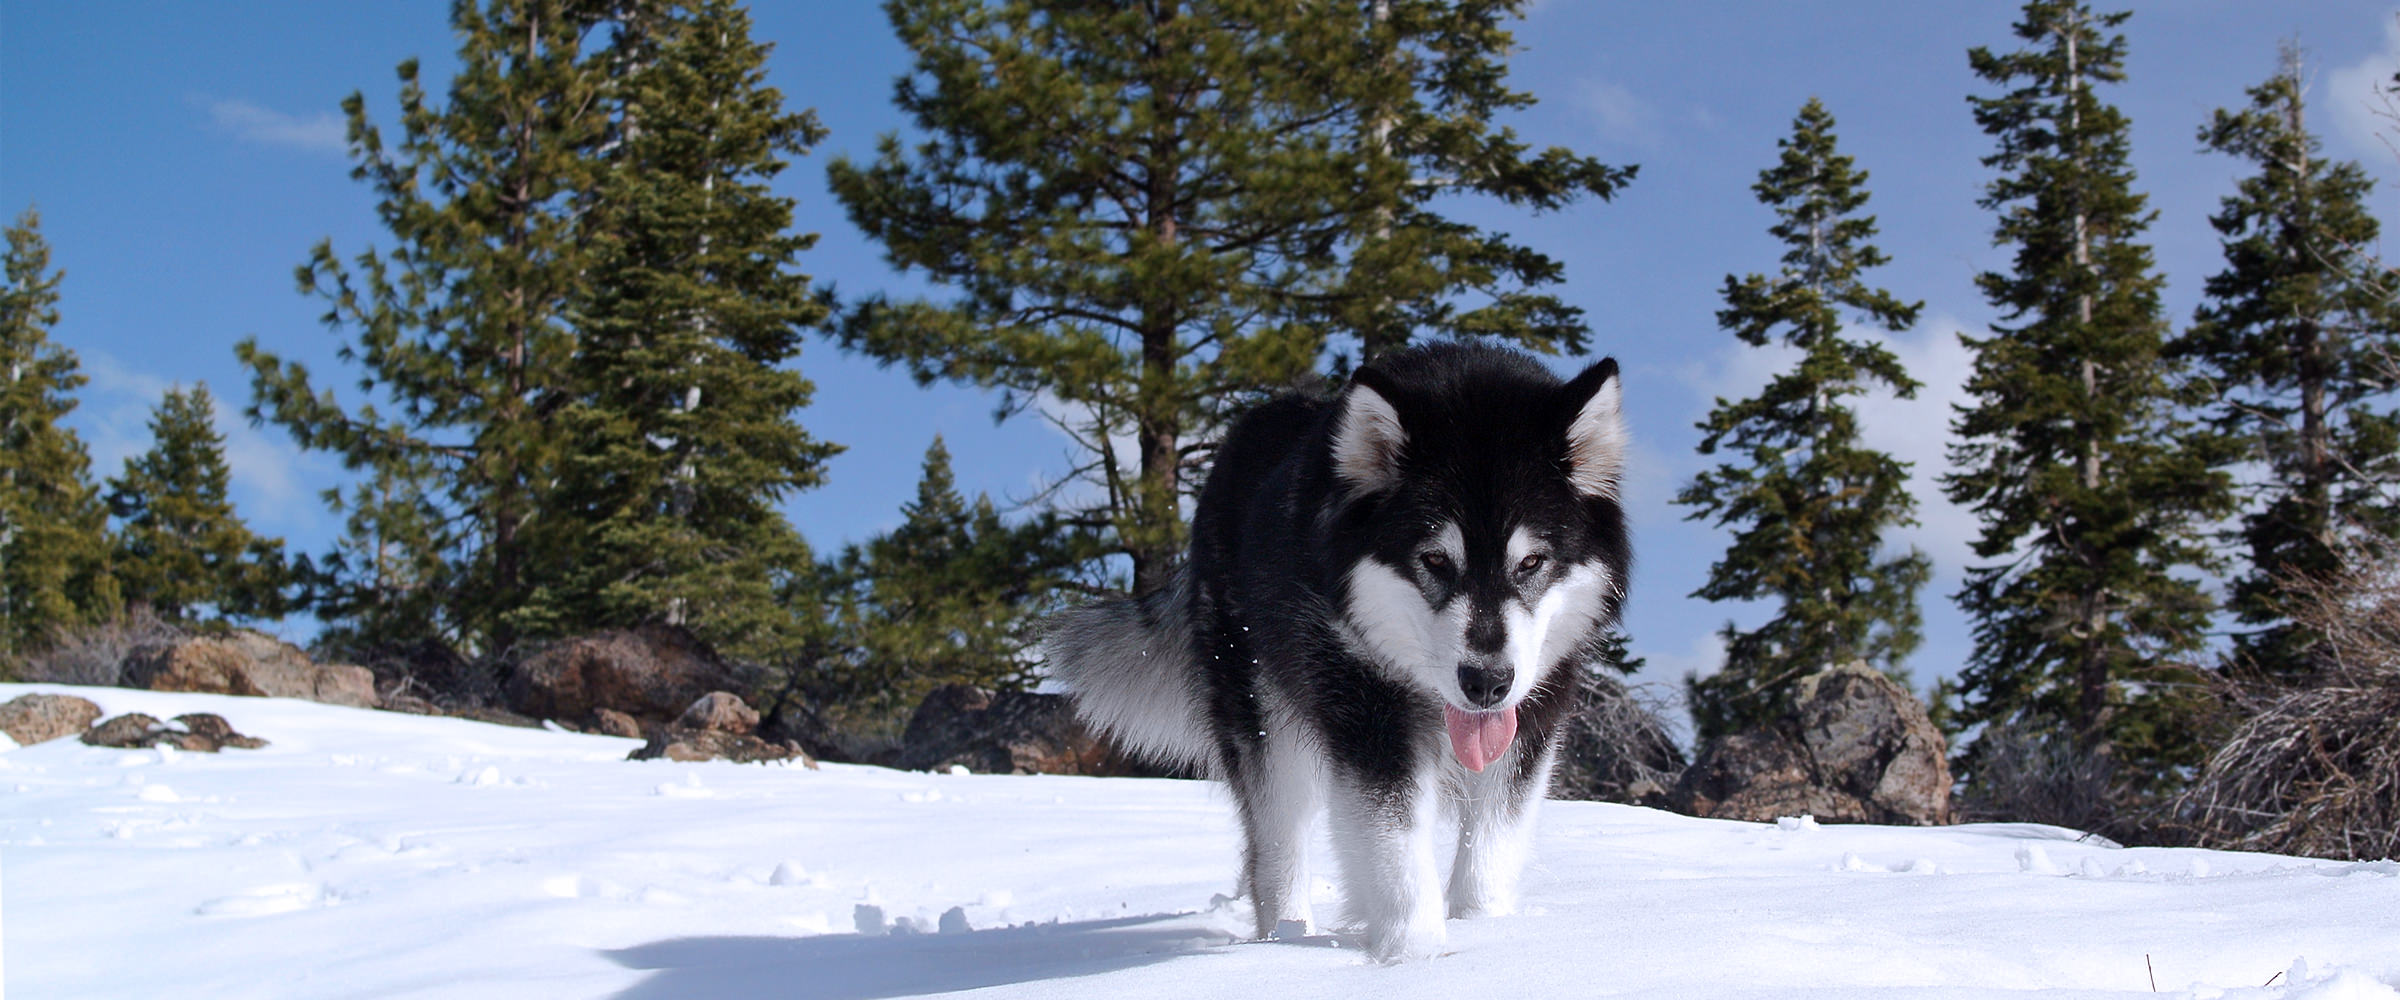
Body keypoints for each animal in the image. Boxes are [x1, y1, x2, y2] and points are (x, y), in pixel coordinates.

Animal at [1051, 342, 1632, 959]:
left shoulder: (1531, 717)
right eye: (1434, 560)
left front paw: (1484, 930)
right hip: (1267, 722)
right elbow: (1396, 848)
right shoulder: (1366, 708)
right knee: (1276, 851)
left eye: (1531, 562)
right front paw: (1417, 955)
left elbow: (1490, 850)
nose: (1486, 682)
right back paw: (1284, 936)